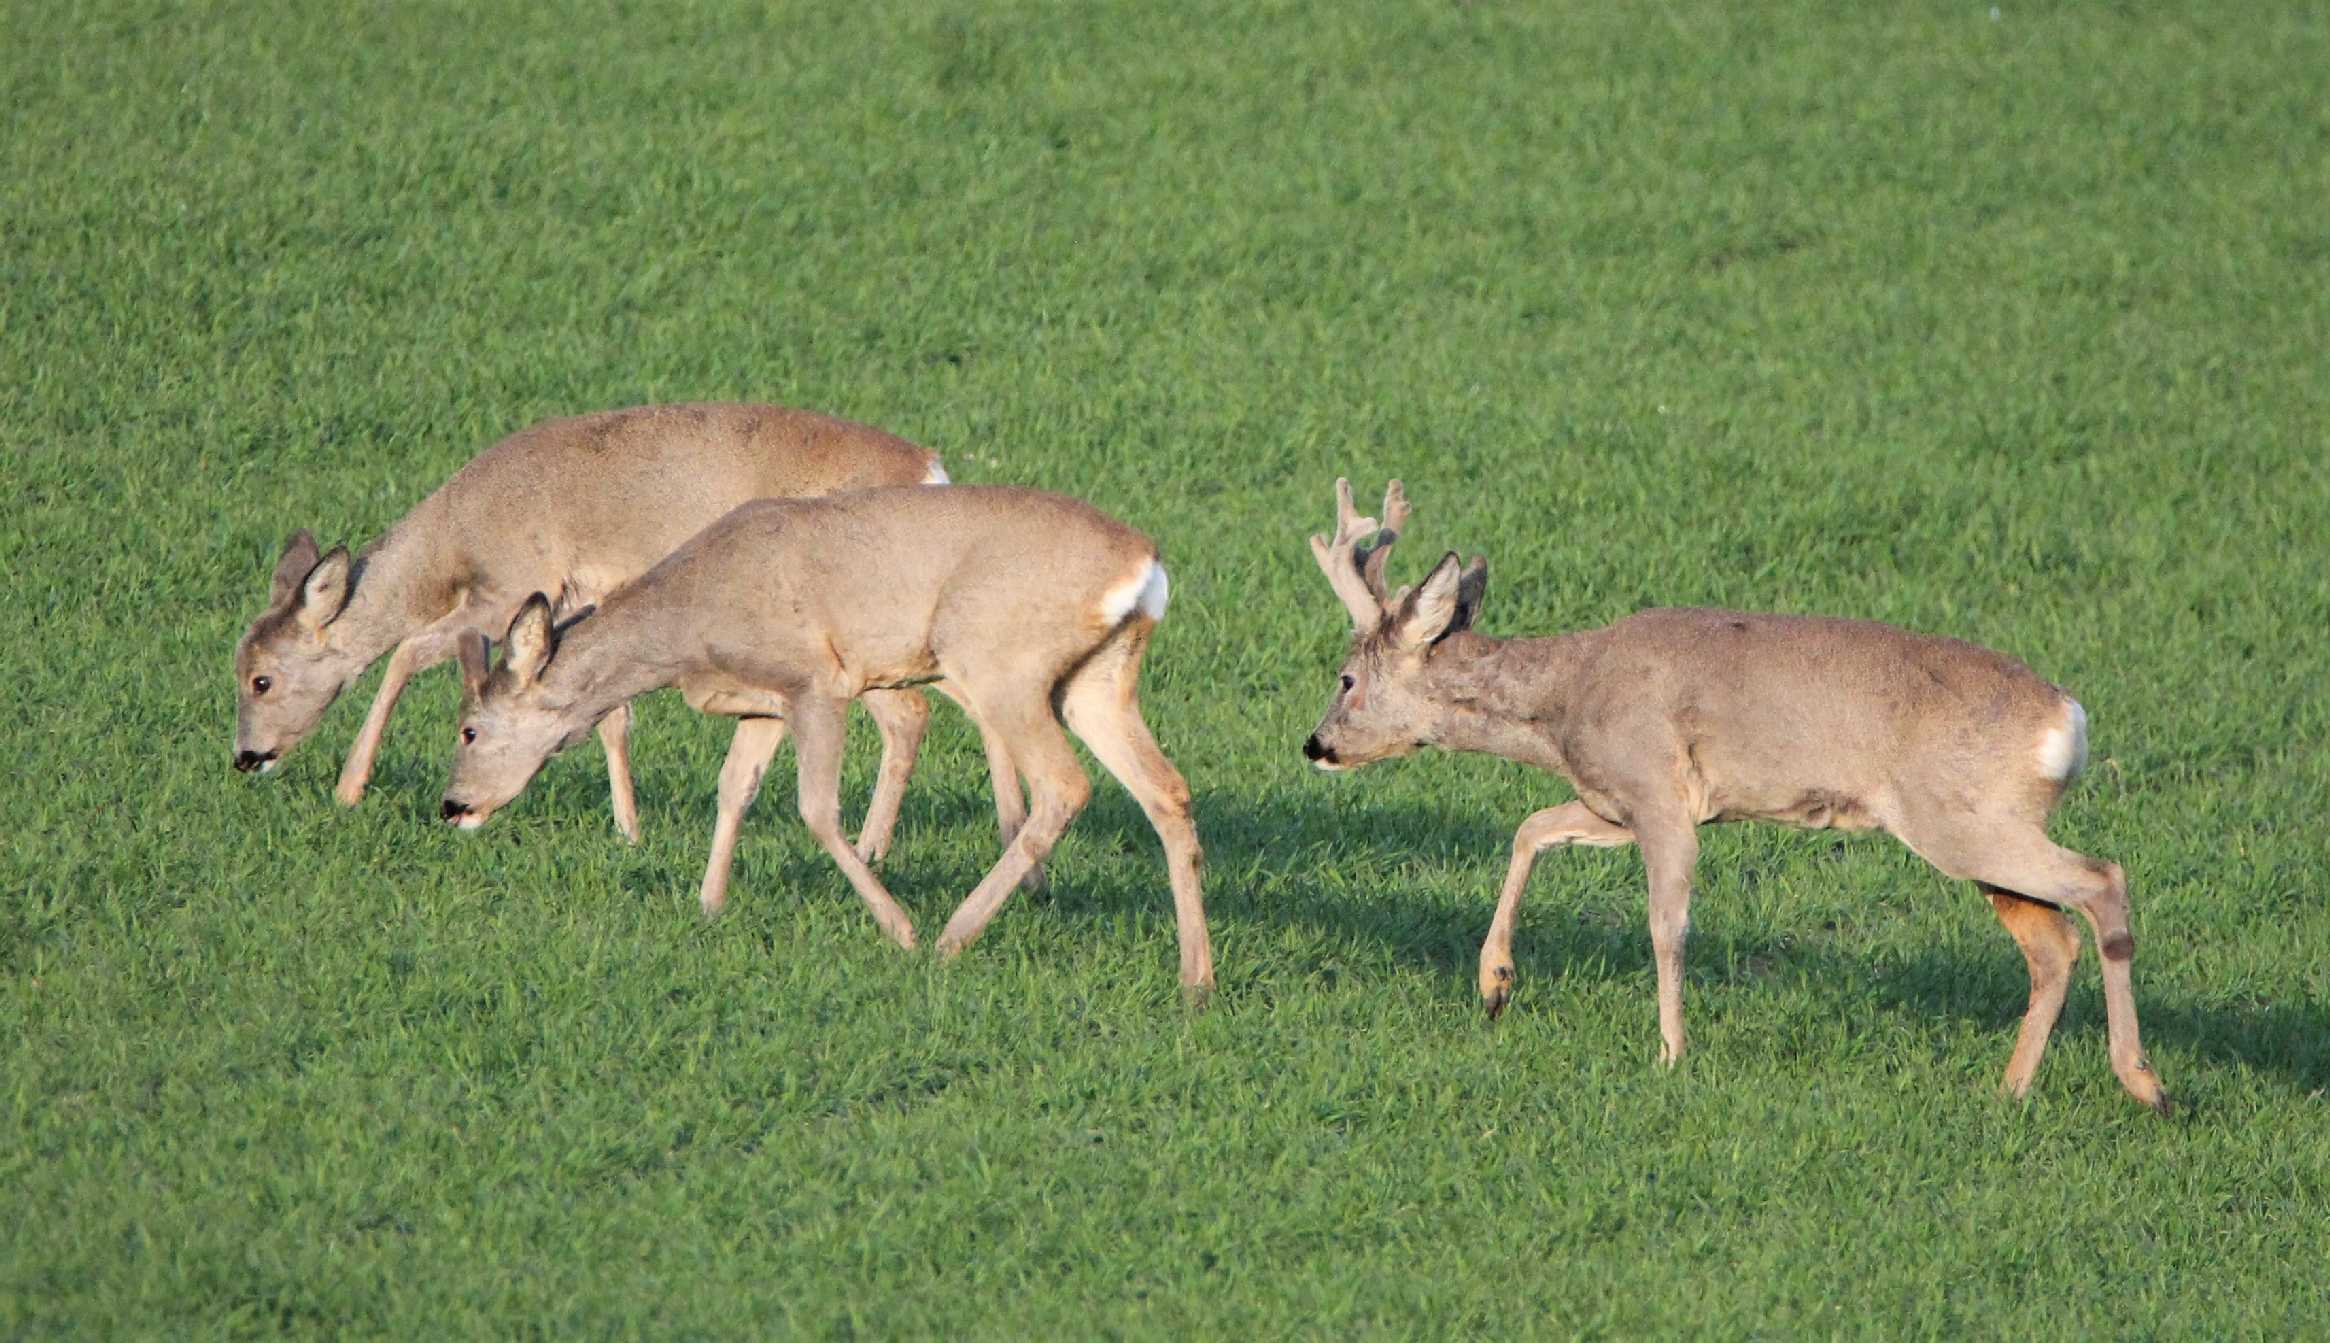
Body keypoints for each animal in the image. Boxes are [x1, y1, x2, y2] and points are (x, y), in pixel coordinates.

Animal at [236, 401, 992, 858]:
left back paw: (869, 849)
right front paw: (629, 829)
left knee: (910, 713)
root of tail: (929, 467)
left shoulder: (512, 584)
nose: (245, 757)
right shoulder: (577, 602)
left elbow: (406, 652)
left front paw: (350, 787)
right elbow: (610, 715)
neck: (458, 535)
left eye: (261, 678)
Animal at [431, 482, 1220, 997]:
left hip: (1003, 664)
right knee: (1167, 790)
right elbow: (734, 788)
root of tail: (1143, 566)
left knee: (1066, 785)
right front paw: (709, 905)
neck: (689, 626)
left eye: (469, 728)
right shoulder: (764, 705)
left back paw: (951, 934)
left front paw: (898, 929)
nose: (451, 805)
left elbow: (815, 807)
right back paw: (1197, 977)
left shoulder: (819, 682)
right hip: (1097, 680)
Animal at [1314, 480, 2162, 1109]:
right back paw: (2011, 1090)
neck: (1568, 699)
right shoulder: (1618, 801)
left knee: (2102, 880)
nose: (1315, 744)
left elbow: (1667, 925)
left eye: (1347, 678)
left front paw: (1670, 1052)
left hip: (1963, 821)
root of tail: (2066, 718)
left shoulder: (1659, 795)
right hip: (1978, 836)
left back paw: (2141, 1080)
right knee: (2054, 943)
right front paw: (1494, 984)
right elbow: (1530, 826)